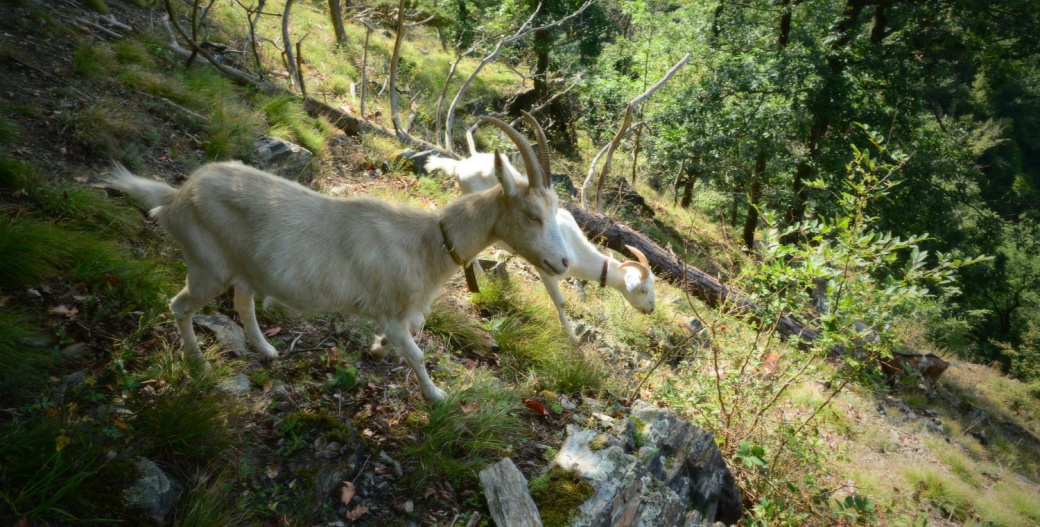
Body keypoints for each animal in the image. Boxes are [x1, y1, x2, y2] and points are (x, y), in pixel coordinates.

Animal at [105, 113, 569, 401]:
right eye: (532, 214)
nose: (563, 264)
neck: (425, 242)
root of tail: (176, 197)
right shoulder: (391, 310)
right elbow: (417, 353)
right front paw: (436, 395)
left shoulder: (404, 313)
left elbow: (405, 339)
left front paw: (378, 350)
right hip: (207, 266)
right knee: (179, 305)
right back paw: (199, 363)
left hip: (244, 267)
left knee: (243, 301)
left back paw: (266, 351)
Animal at [424, 140, 653, 343]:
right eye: (643, 290)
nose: (650, 309)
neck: (576, 250)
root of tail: (460, 164)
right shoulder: (548, 269)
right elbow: (561, 302)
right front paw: (571, 337)